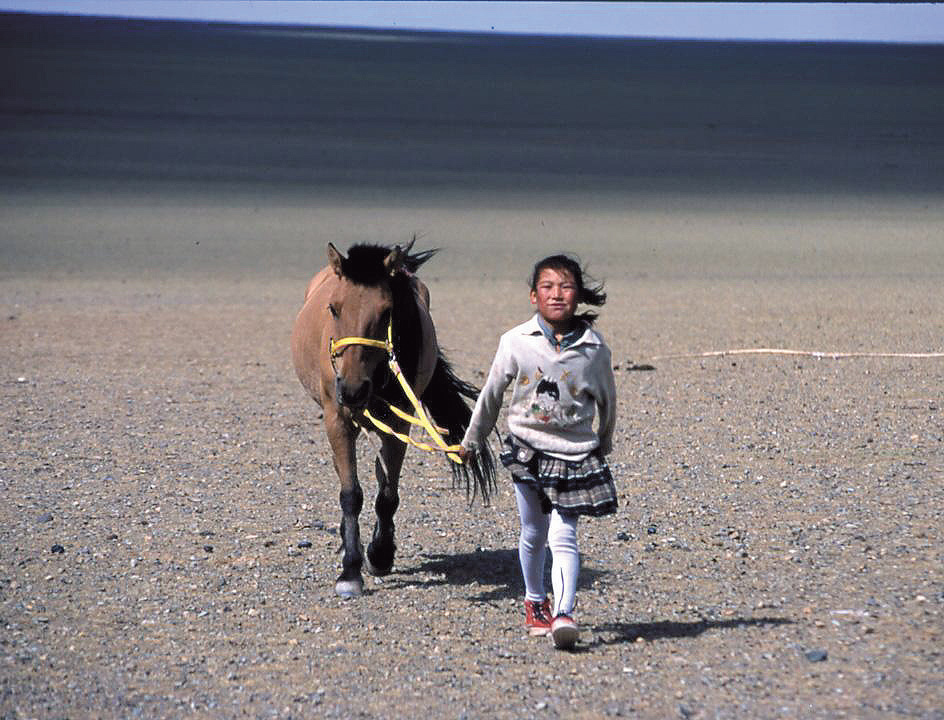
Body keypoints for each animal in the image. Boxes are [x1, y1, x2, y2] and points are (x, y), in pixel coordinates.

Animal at [291, 240, 496, 598]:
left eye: (386, 312)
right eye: (333, 308)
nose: (353, 389)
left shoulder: (399, 425)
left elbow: (387, 495)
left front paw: (380, 555)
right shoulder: (337, 420)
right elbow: (350, 494)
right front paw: (350, 570)